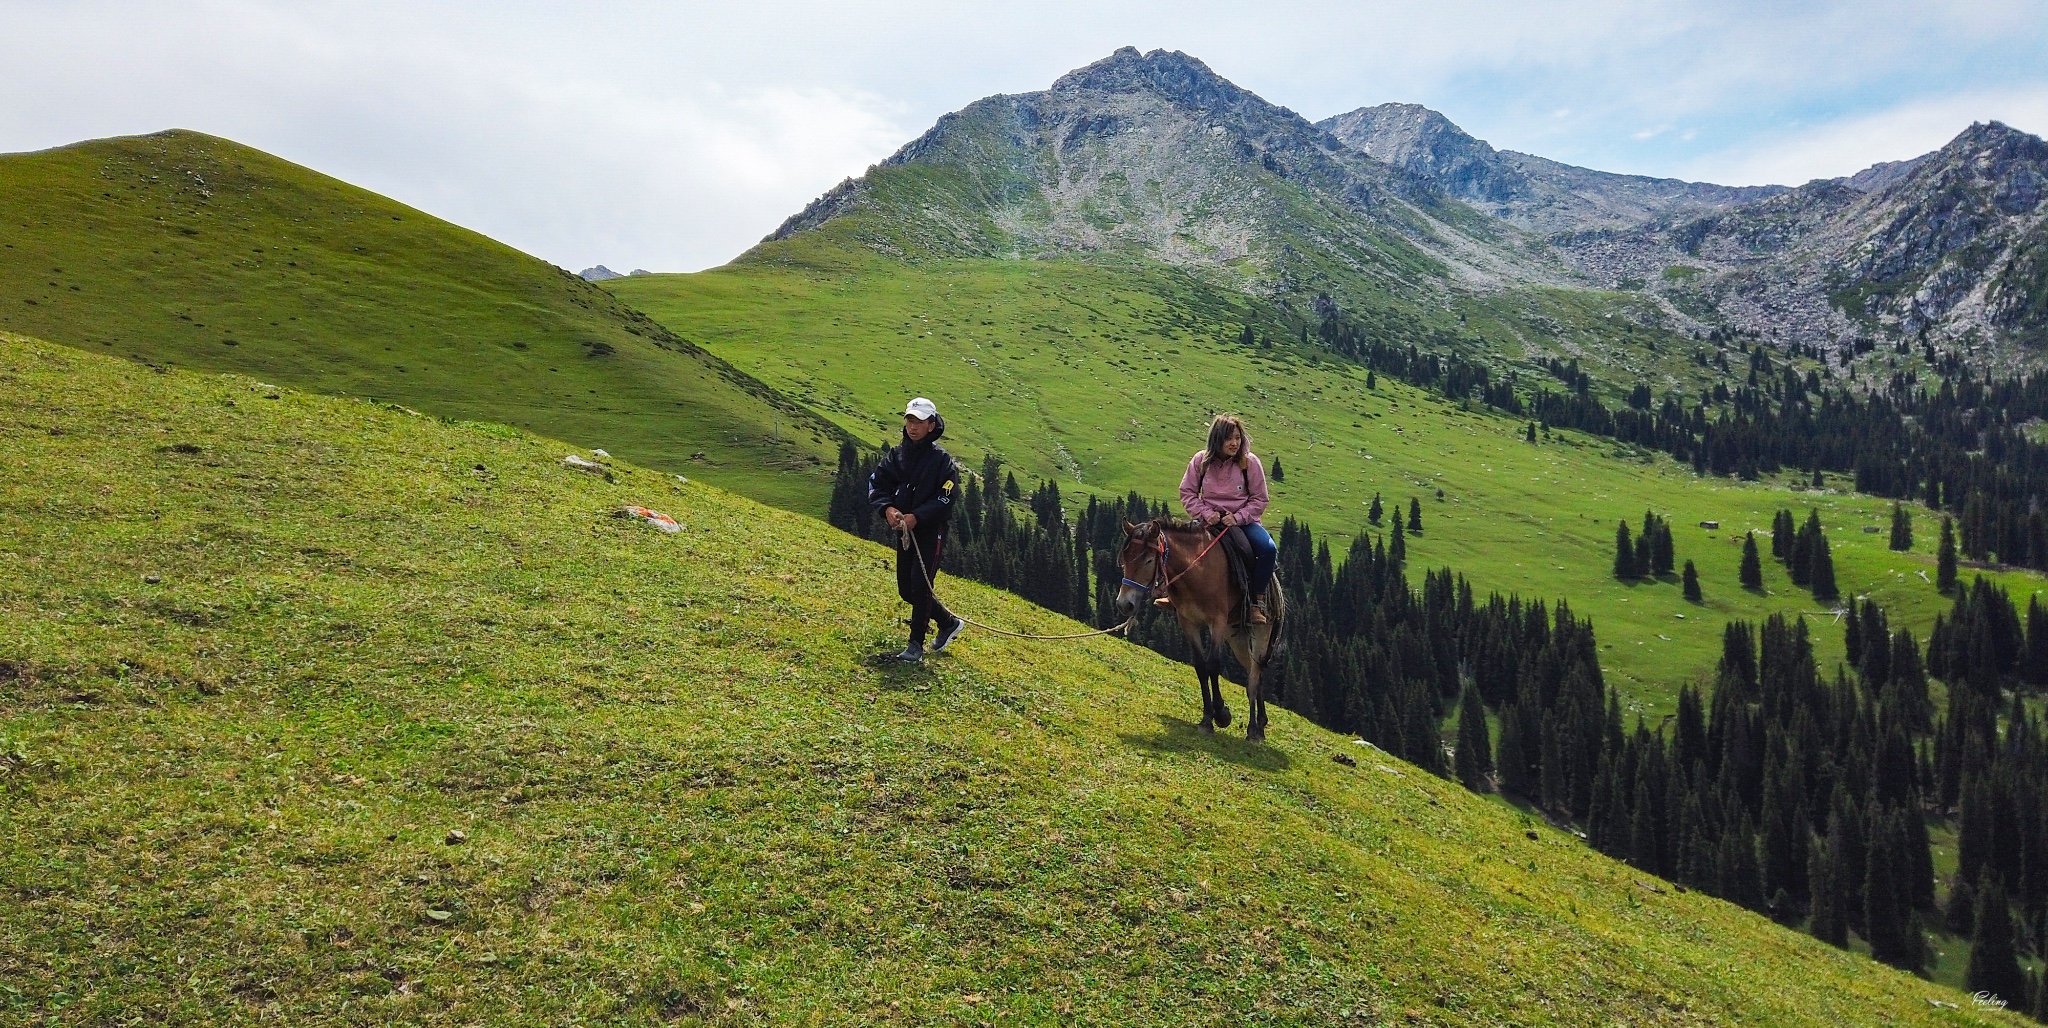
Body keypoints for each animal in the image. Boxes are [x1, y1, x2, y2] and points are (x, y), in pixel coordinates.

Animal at [1122, 522, 1277, 737]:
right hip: (1236, 637)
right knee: (1253, 670)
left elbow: (1213, 665)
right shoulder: (1188, 622)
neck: (1197, 571)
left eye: (1149, 560)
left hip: (1261, 632)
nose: (1124, 604)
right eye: (1124, 560)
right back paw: (1261, 722)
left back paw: (1254, 730)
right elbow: (1201, 667)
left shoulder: (1217, 622)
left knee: (1254, 675)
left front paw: (1221, 714)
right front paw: (1207, 718)